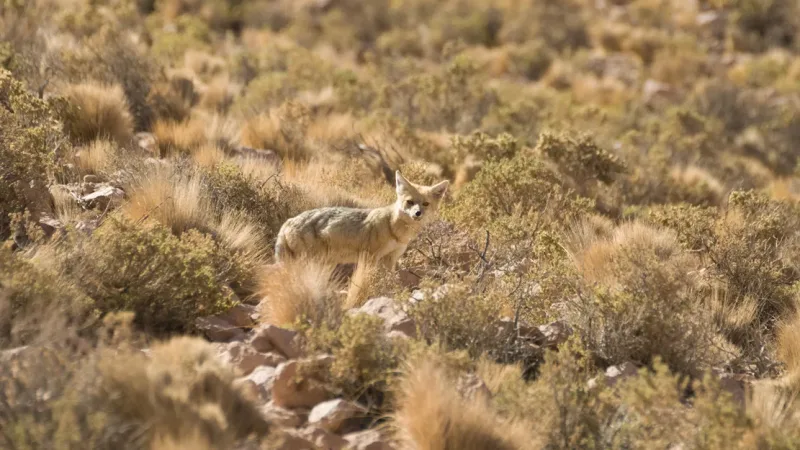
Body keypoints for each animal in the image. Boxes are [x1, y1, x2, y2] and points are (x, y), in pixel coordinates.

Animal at [274, 170, 449, 271]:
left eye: (425, 204)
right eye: (410, 202)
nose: (417, 213)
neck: (394, 229)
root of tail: (288, 221)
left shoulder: (390, 260)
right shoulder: (370, 258)